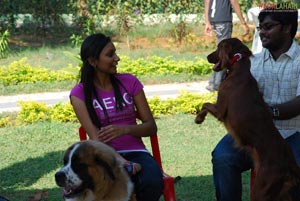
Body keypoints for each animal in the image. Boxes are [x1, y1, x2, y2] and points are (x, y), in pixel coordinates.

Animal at [196, 38, 300, 201]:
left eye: (218, 48)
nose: (207, 57)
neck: (239, 69)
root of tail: (289, 162)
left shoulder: (220, 110)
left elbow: (204, 104)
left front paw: (199, 118)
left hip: (261, 189)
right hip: (281, 193)